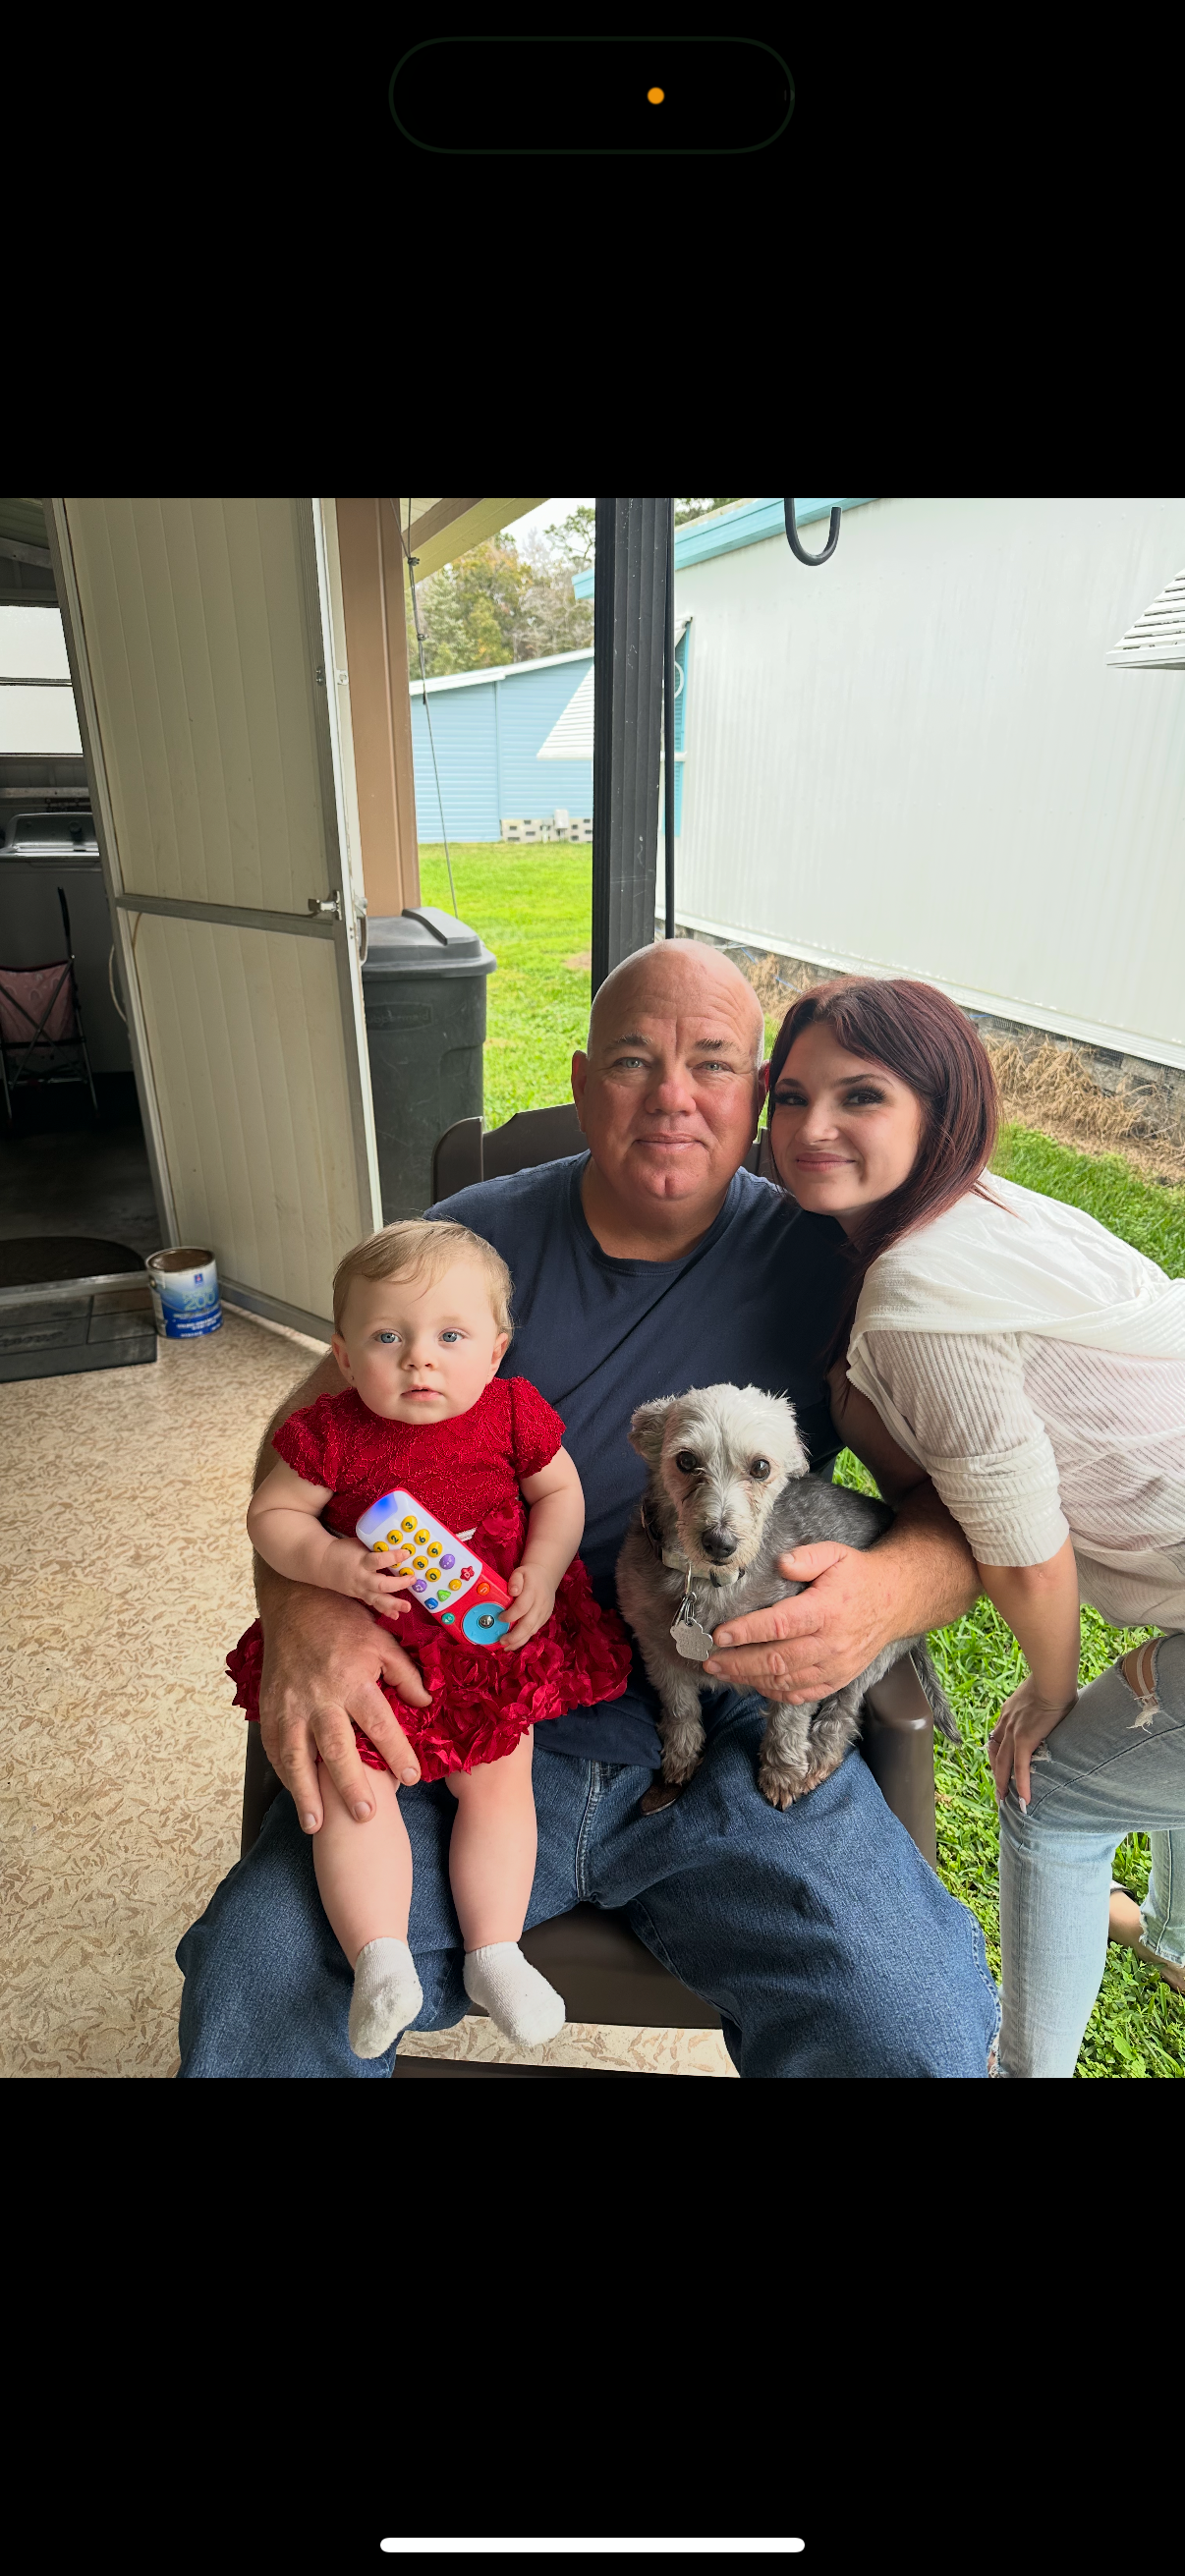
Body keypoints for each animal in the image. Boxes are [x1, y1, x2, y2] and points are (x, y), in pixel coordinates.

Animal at [615, 1383, 958, 1813]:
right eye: (686, 1460)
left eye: (761, 1467)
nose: (720, 1542)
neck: (709, 1583)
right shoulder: (658, 1651)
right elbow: (680, 1709)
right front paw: (681, 1756)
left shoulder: (801, 1655)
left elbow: (788, 1720)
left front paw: (782, 1771)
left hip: (871, 1655)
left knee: (844, 1711)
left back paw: (820, 1756)